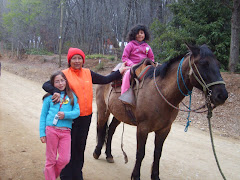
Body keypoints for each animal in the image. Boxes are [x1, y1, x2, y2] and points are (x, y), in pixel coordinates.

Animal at [93, 44, 228, 180]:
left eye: (218, 64)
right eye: (204, 64)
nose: (222, 95)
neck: (162, 93)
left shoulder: (164, 129)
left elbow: (157, 153)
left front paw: (155, 176)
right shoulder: (143, 128)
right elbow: (140, 153)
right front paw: (136, 176)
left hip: (119, 115)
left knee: (110, 130)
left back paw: (109, 155)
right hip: (103, 110)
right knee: (101, 128)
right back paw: (97, 152)